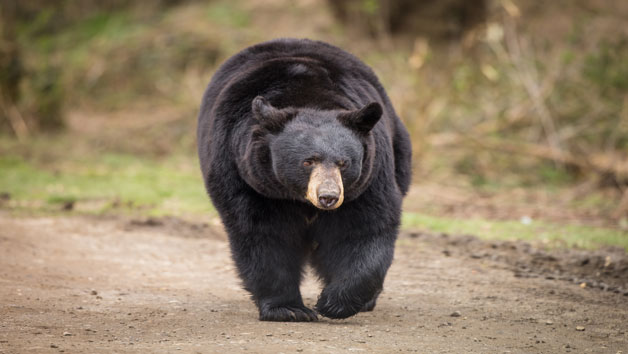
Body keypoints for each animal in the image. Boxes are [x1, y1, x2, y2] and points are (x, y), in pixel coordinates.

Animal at [197, 38, 412, 320]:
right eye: (307, 161)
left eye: (344, 163)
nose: (328, 197)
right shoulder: (246, 177)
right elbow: (262, 234)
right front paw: (289, 309)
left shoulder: (371, 174)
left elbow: (365, 227)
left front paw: (334, 302)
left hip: (399, 152)